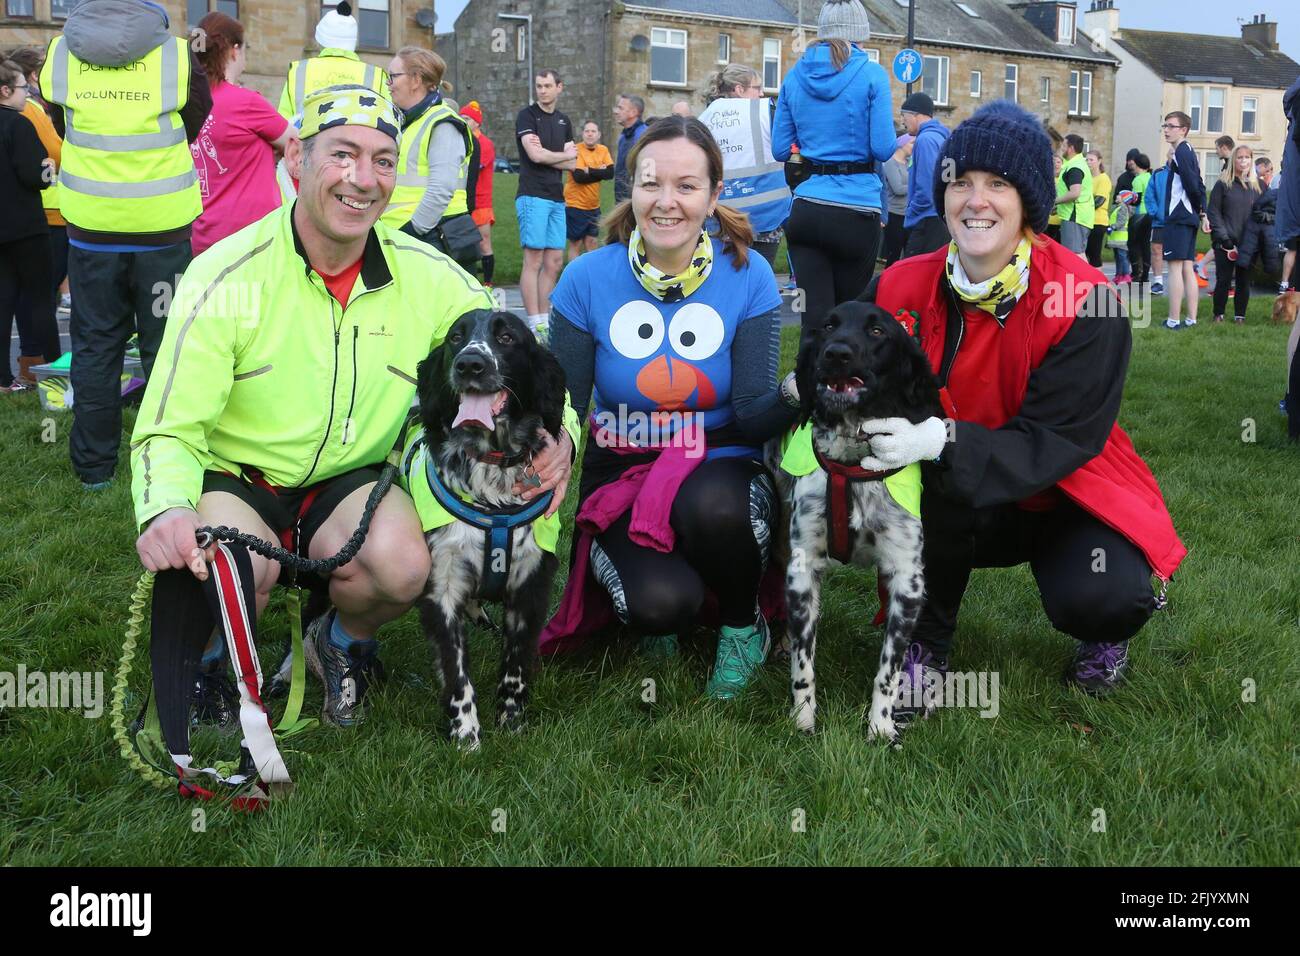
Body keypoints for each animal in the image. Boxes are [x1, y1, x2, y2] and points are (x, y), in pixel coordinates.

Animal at [400, 308, 569, 749]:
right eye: (456, 338)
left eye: (507, 338)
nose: (469, 364)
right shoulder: (441, 586)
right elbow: (456, 672)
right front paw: (466, 734)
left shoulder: (530, 585)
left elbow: (515, 667)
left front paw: (511, 722)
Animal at [774, 303, 941, 743]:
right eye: (828, 326)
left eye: (878, 331)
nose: (836, 352)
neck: (852, 468)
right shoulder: (802, 567)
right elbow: (804, 663)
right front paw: (803, 719)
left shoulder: (906, 578)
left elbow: (889, 670)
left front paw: (880, 727)